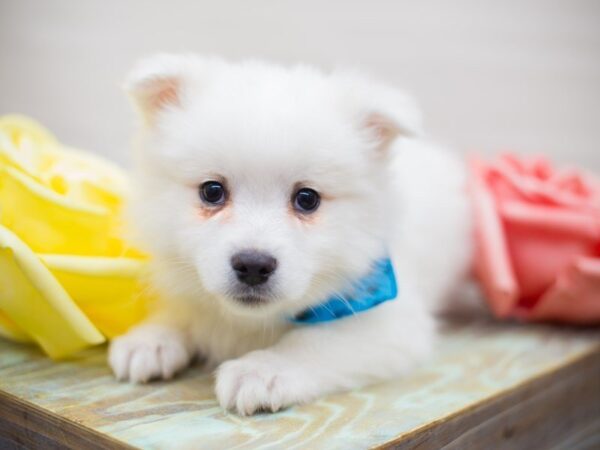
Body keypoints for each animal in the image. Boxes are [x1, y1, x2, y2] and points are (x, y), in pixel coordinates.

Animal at [108, 55, 474, 414]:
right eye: (212, 191)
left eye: (307, 199)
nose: (253, 265)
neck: (249, 323)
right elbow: (183, 308)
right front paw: (151, 338)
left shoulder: (391, 320)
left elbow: (315, 341)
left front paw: (261, 370)